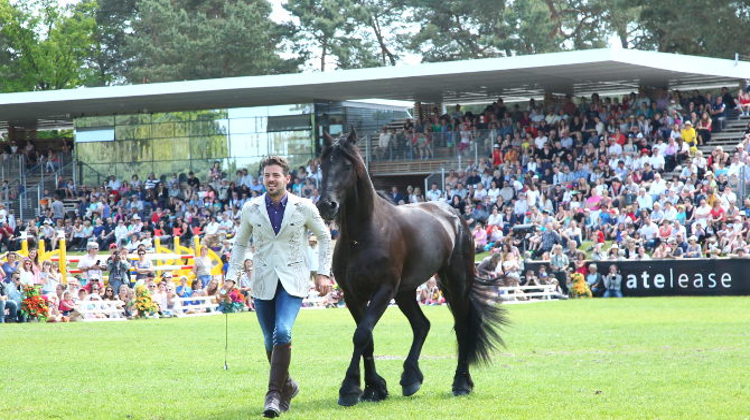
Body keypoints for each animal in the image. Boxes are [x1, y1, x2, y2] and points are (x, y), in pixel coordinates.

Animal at [314, 130, 508, 406]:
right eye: (323, 165)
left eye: (347, 165)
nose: (326, 205)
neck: (363, 235)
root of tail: (455, 216)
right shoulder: (352, 295)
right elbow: (367, 338)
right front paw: (373, 388)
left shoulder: (383, 290)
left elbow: (361, 335)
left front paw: (349, 388)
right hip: (405, 292)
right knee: (421, 325)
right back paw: (410, 377)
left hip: (455, 283)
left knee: (462, 326)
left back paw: (461, 382)